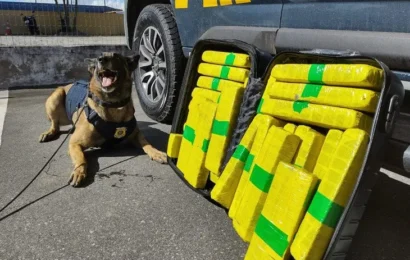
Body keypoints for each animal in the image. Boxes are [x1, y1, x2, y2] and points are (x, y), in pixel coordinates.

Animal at [38, 52, 167, 187]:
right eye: (98, 58)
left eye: (116, 56)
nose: (101, 59)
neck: (113, 104)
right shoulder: (74, 144)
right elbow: (81, 158)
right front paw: (79, 171)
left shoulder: (136, 134)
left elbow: (146, 143)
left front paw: (156, 152)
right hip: (55, 98)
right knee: (55, 124)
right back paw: (48, 133)